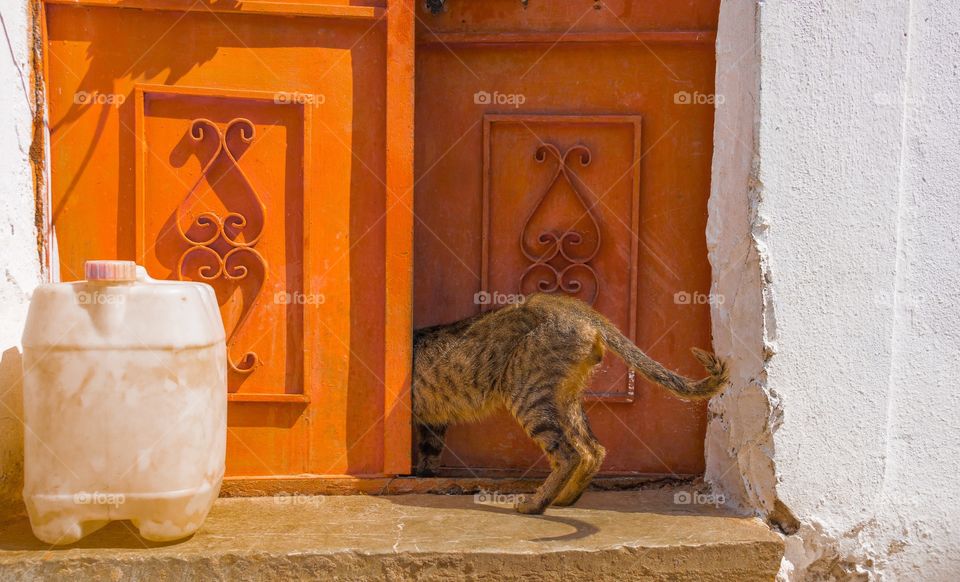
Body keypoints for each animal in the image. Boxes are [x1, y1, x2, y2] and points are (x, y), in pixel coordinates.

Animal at [410, 294, 728, 516]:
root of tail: (570, 305)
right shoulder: (433, 422)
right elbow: (430, 452)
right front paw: (425, 474)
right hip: (564, 398)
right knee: (593, 449)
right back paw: (564, 499)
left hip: (527, 394)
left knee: (568, 453)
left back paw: (535, 505)